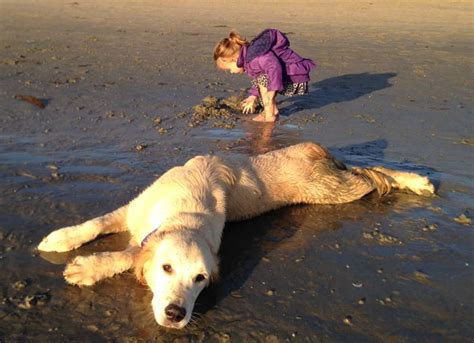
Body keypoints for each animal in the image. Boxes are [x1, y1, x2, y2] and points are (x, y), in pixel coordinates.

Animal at [39, 143, 436, 330]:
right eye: (166, 268)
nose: (176, 314)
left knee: (372, 174)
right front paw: (60, 239)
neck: (185, 210)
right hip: (334, 182)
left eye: (200, 279)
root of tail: (316, 149)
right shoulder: (133, 209)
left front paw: (85, 269)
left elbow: (127, 253)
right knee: (366, 170)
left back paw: (416, 181)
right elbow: (97, 224)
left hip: (332, 190)